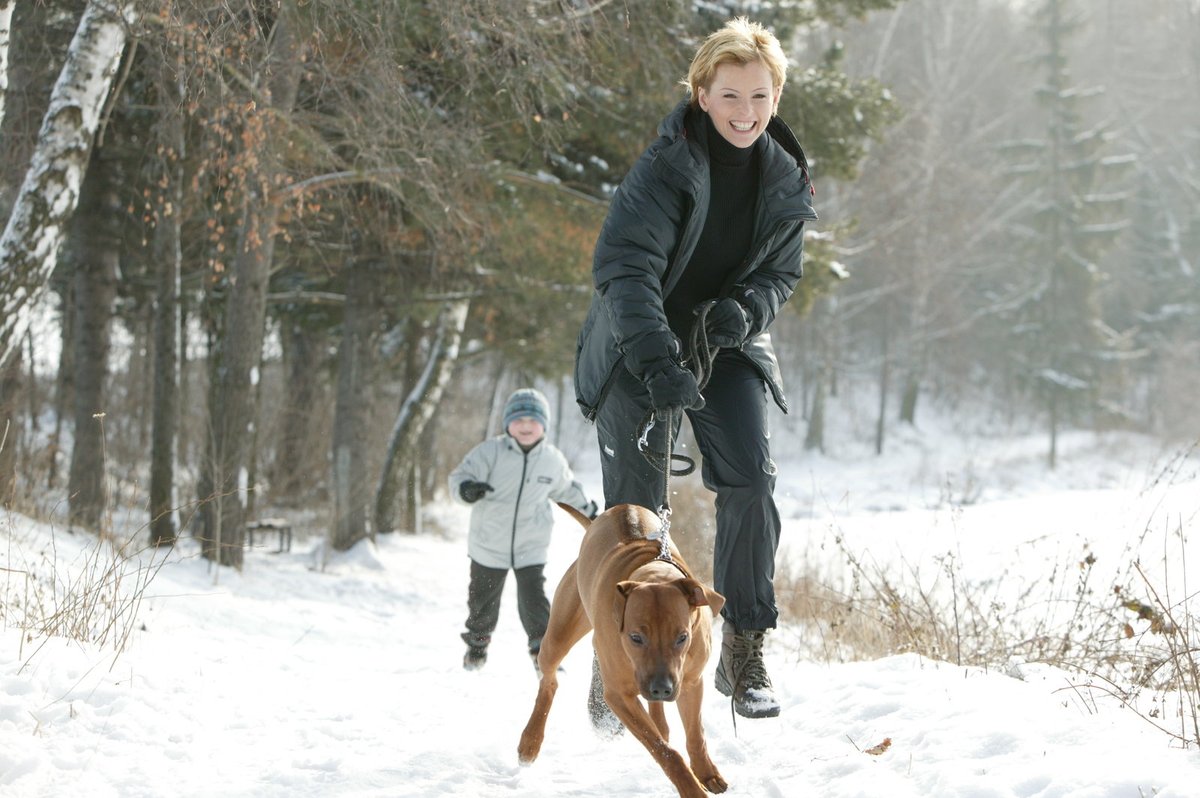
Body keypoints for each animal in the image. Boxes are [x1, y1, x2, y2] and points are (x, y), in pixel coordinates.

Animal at [513, 501, 720, 792]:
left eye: (682, 637)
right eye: (635, 637)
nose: (661, 688)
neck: (653, 572)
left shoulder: (690, 680)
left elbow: (695, 734)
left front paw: (706, 773)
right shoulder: (618, 695)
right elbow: (664, 751)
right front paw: (690, 787)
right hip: (559, 632)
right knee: (549, 681)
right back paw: (530, 741)